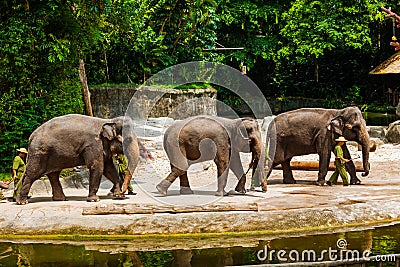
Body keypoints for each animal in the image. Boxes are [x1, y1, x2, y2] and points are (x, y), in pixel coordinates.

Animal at [15, 113, 150, 205]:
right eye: (128, 139)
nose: (123, 192)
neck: (108, 121)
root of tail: (31, 137)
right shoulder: (94, 145)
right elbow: (98, 167)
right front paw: (94, 200)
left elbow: (109, 168)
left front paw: (117, 196)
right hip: (39, 154)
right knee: (32, 174)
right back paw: (22, 202)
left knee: (54, 174)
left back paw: (61, 199)